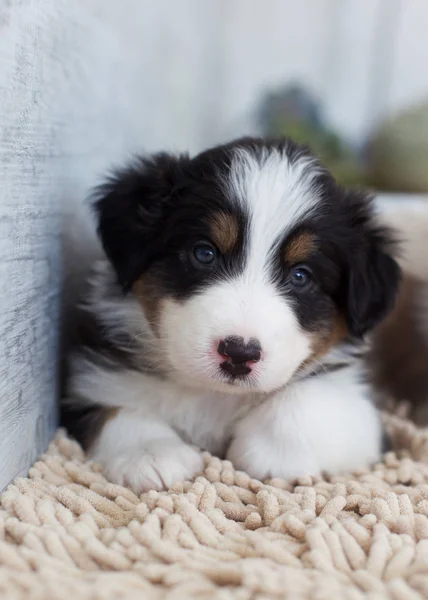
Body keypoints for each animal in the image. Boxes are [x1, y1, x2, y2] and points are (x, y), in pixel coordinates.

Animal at [61, 137, 402, 492]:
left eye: (301, 275)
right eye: (204, 253)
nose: (239, 353)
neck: (214, 396)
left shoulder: (367, 413)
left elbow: (306, 399)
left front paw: (267, 454)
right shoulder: (91, 376)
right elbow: (116, 402)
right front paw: (151, 453)